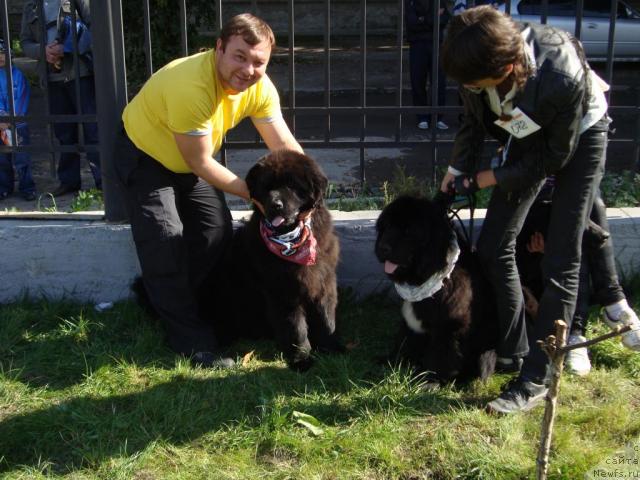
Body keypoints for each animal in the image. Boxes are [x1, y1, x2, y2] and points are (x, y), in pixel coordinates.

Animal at [215, 150, 342, 372]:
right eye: (266, 186)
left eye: (292, 185)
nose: (275, 205)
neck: (292, 239)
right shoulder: (282, 290)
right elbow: (295, 328)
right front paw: (301, 360)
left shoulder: (324, 281)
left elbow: (326, 318)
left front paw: (331, 348)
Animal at [376, 194, 500, 382]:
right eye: (387, 226)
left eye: (408, 231)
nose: (382, 248)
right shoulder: (411, 323)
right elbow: (404, 343)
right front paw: (392, 362)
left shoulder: (448, 324)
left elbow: (441, 355)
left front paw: (431, 380)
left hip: (486, 348)